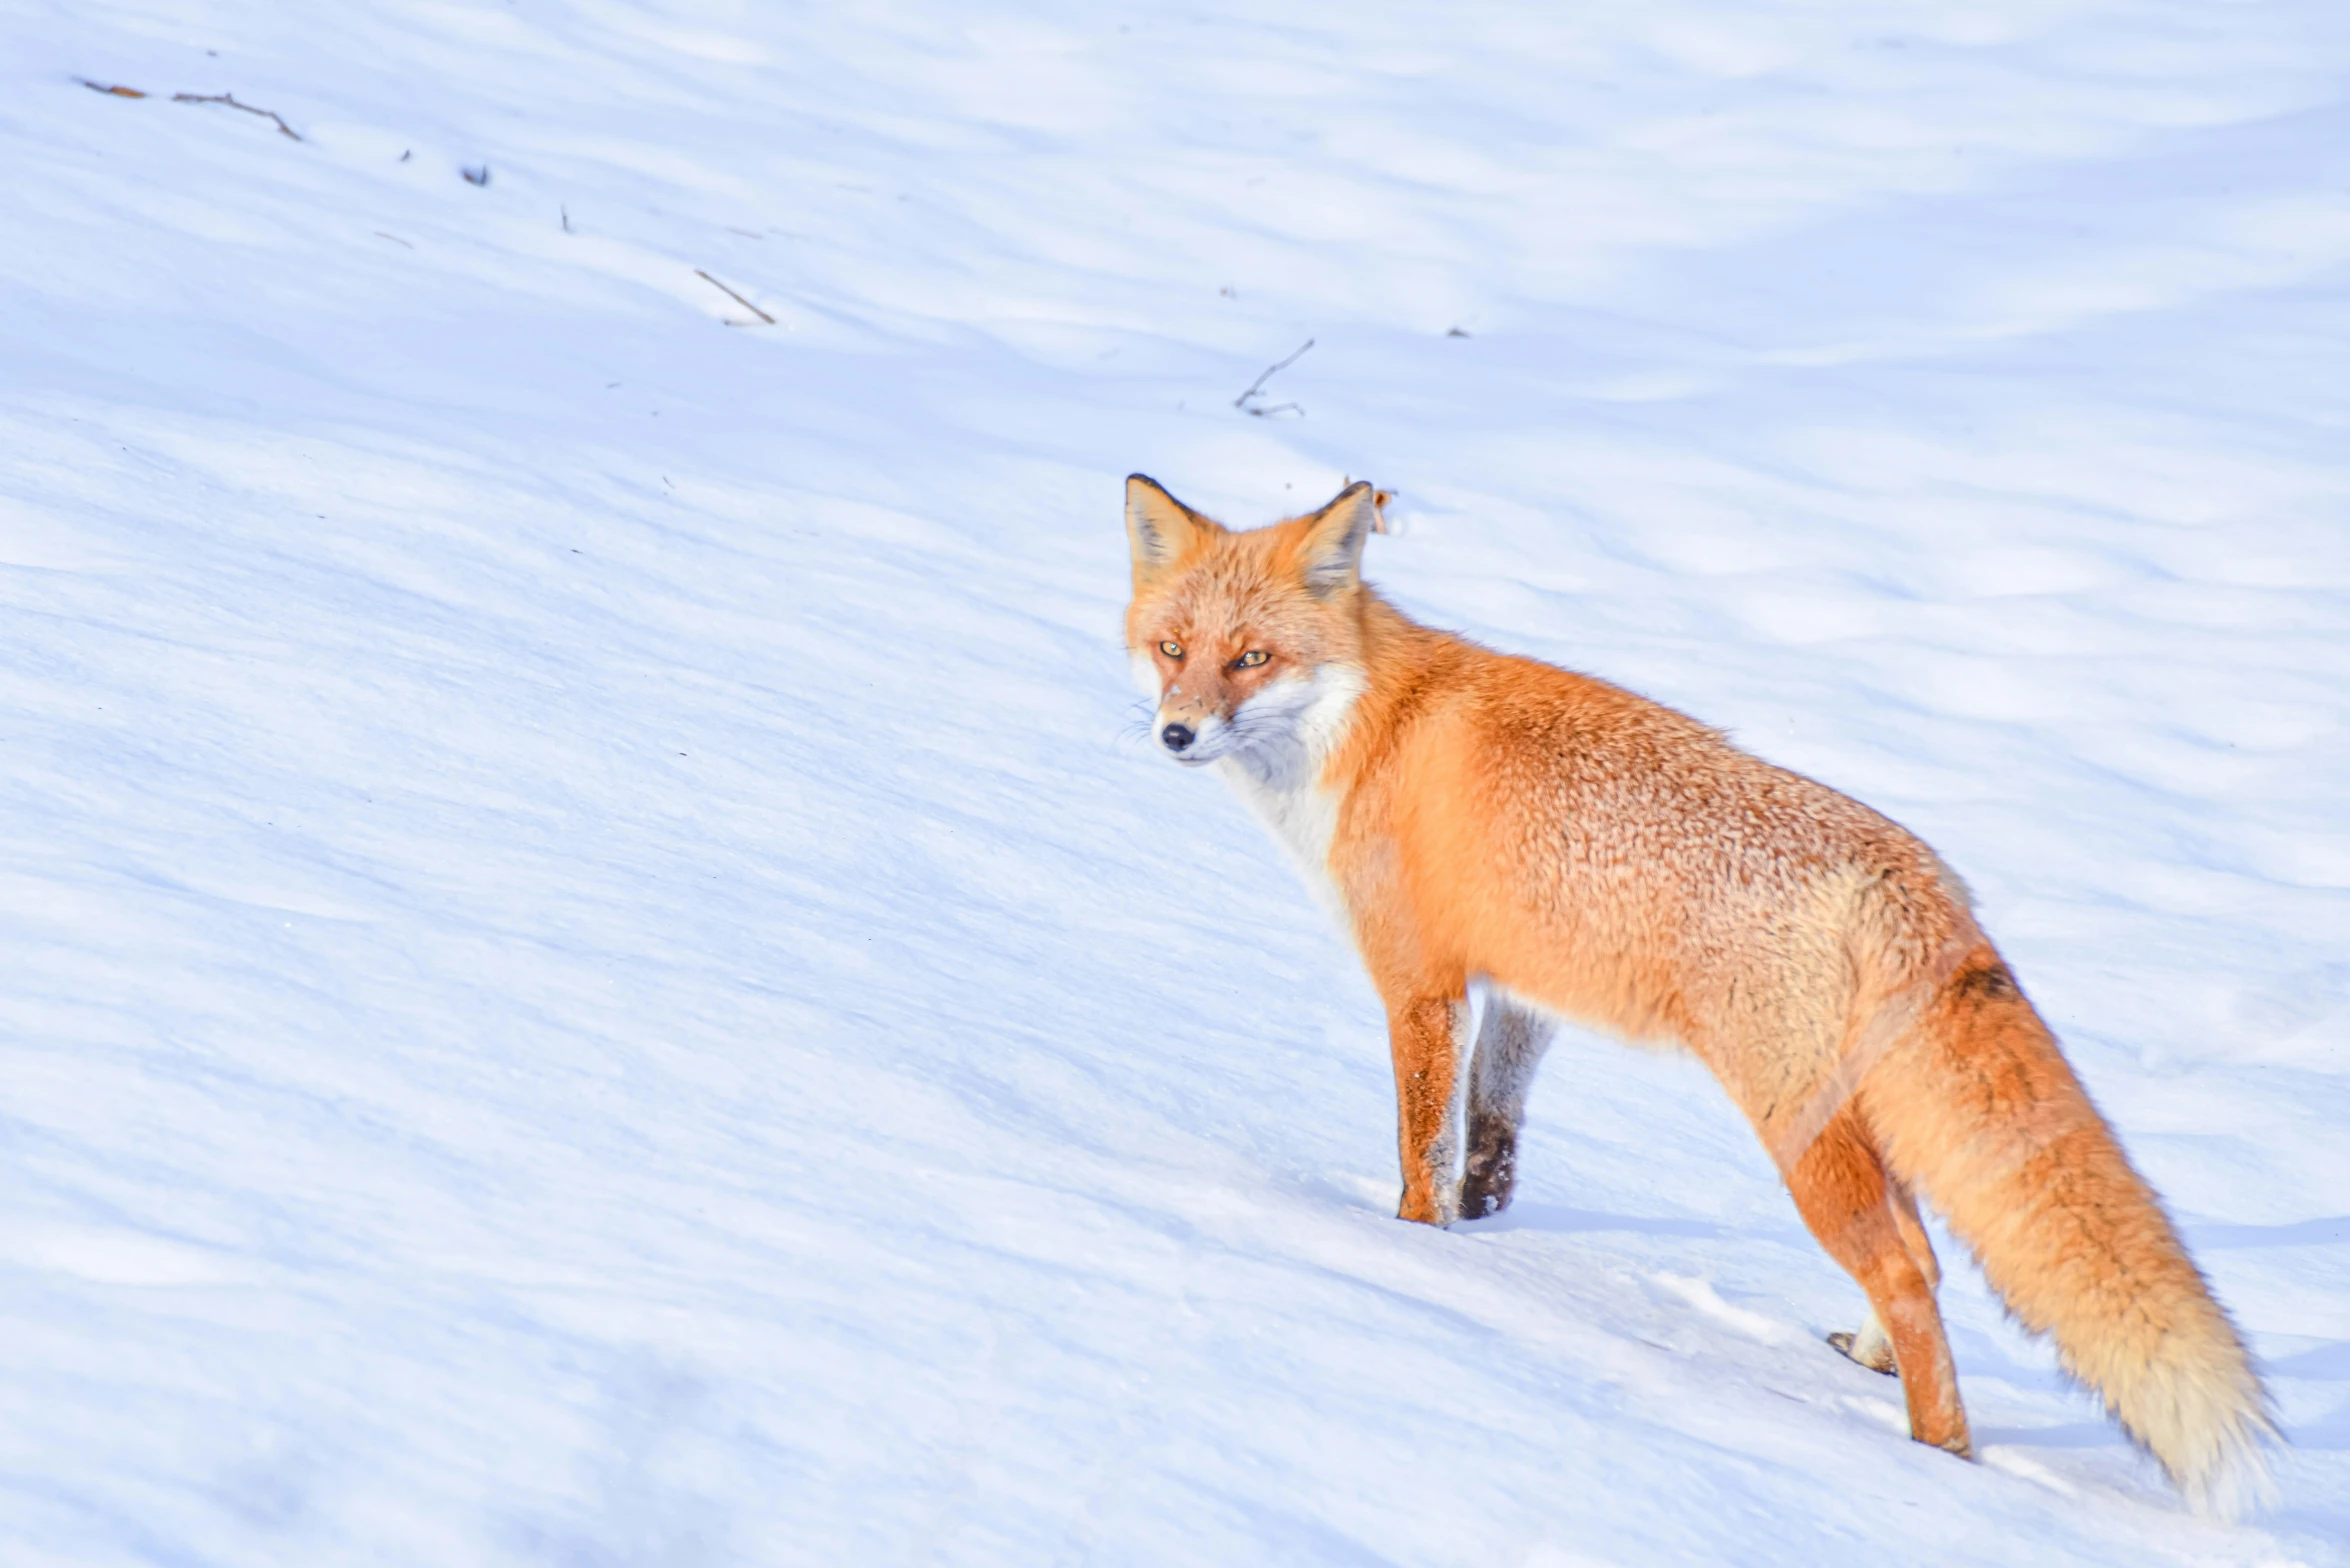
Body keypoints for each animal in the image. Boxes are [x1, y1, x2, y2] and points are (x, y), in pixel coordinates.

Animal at [1118, 474, 2274, 1504]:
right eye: (1173, 649)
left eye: (1253, 658)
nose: (1174, 733)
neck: (1370, 726)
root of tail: (1913, 873)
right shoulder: (1524, 989)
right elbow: (1491, 1131)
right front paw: (1486, 1227)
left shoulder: (1419, 982)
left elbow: (1421, 1144)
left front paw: (1412, 1247)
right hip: (1859, 1124)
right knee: (1927, 1263)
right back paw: (1870, 1364)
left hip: (1794, 1128)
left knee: (1908, 1268)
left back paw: (1935, 1456)